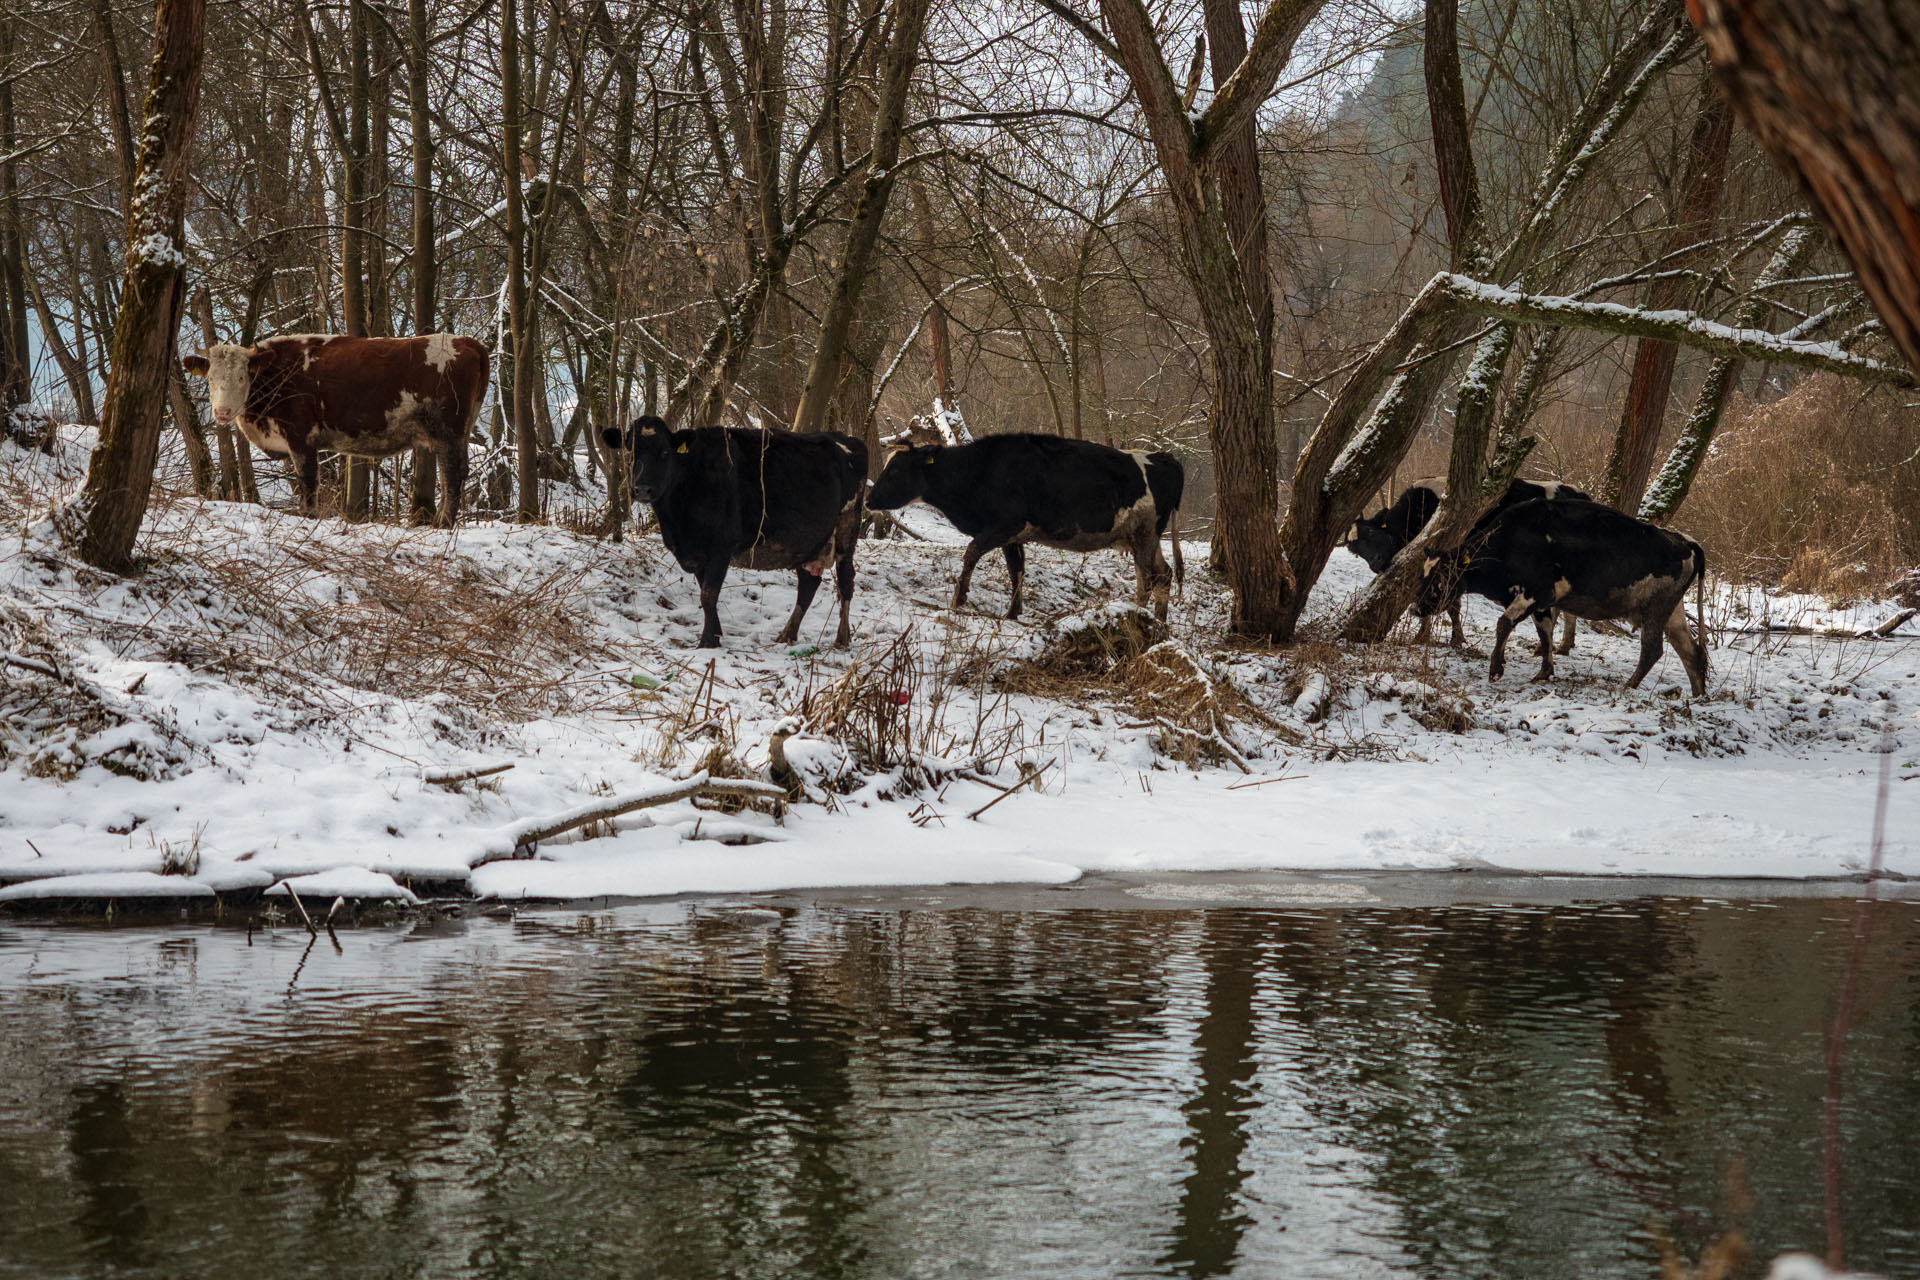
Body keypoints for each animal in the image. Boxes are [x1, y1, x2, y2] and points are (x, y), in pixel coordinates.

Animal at [181, 335, 487, 529]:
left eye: (242, 377)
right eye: (210, 378)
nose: (221, 412)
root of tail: (465, 341)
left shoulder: (301, 438)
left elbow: (308, 481)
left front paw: (308, 515)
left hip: (448, 432)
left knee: (452, 475)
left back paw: (443, 524)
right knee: (454, 474)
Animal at [602, 416, 867, 652]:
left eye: (665, 453)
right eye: (630, 452)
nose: (642, 489)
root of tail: (846, 438)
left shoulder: (721, 546)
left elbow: (708, 595)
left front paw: (707, 641)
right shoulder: (696, 553)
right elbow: (705, 592)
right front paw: (716, 635)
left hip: (847, 528)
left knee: (846, 582)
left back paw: (842, 639)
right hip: (807, 541)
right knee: (809, 584)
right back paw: (787, 635)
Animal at [871, 435, 1182, 625]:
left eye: (895, 471)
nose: (868, 499)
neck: (981, 471)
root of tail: (1162, 457)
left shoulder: (1005, 525)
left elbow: (971, 552)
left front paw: (959, 599)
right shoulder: (1012, 537)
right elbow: (1016, 571)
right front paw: (1012, 613)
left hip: (1143, 533)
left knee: (1149, 578)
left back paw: (1139, 615)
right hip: (1144, 537)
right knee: (1162, 575)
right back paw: (1158, 621)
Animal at [1344, 475, 1597, 652]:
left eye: (1370, 532)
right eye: (1354, 550)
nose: (1376, 564)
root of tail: (1580, 493)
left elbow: (1451, 604)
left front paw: (1456, 639)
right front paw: (1423, 636)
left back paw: (1557, 645)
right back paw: (1562, 645)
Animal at [1413, 498, 1712, 694]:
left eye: (1441, 575)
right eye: (1422, 574)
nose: (1416, 608)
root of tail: (1684, 541)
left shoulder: (1533, 594)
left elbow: (1503, 624)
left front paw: (1496, 668)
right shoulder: (1543, 604)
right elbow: (1544, 634)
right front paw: (1544, 672)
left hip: (1655, 610)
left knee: (1652, 649)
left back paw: (1629, 686)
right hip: (1672, 614)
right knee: (1692, 652)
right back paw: (1698, 697)